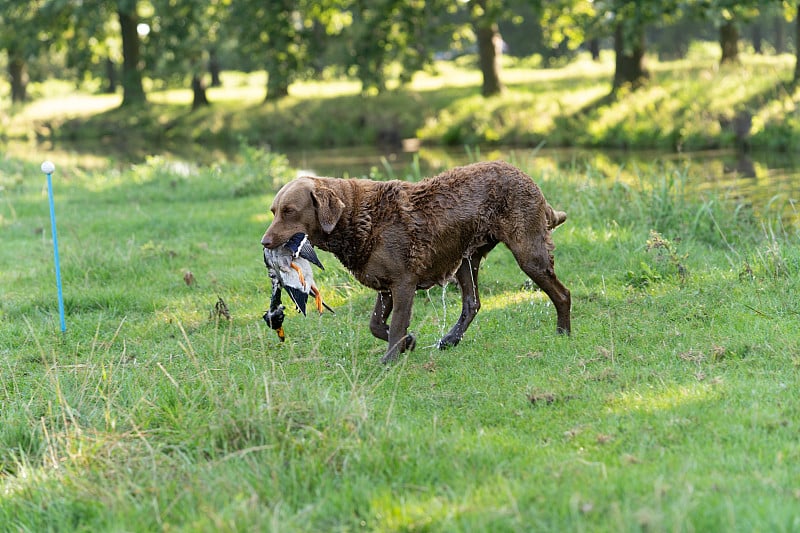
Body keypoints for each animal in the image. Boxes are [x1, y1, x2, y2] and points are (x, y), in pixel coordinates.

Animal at [260, 160, 568, 364]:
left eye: (289, 211)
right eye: (273, 211)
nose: (264, 242)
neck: (357, 220)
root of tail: (525, 175)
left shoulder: (403, 283)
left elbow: (397, 324)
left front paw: (390, 359)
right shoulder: (385, 287)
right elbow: (375, 325)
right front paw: (408, 343)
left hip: (528, 252)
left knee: (562, 294)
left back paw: (563, 332)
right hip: (465, 259)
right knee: (472, 303)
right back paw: (449, 340)